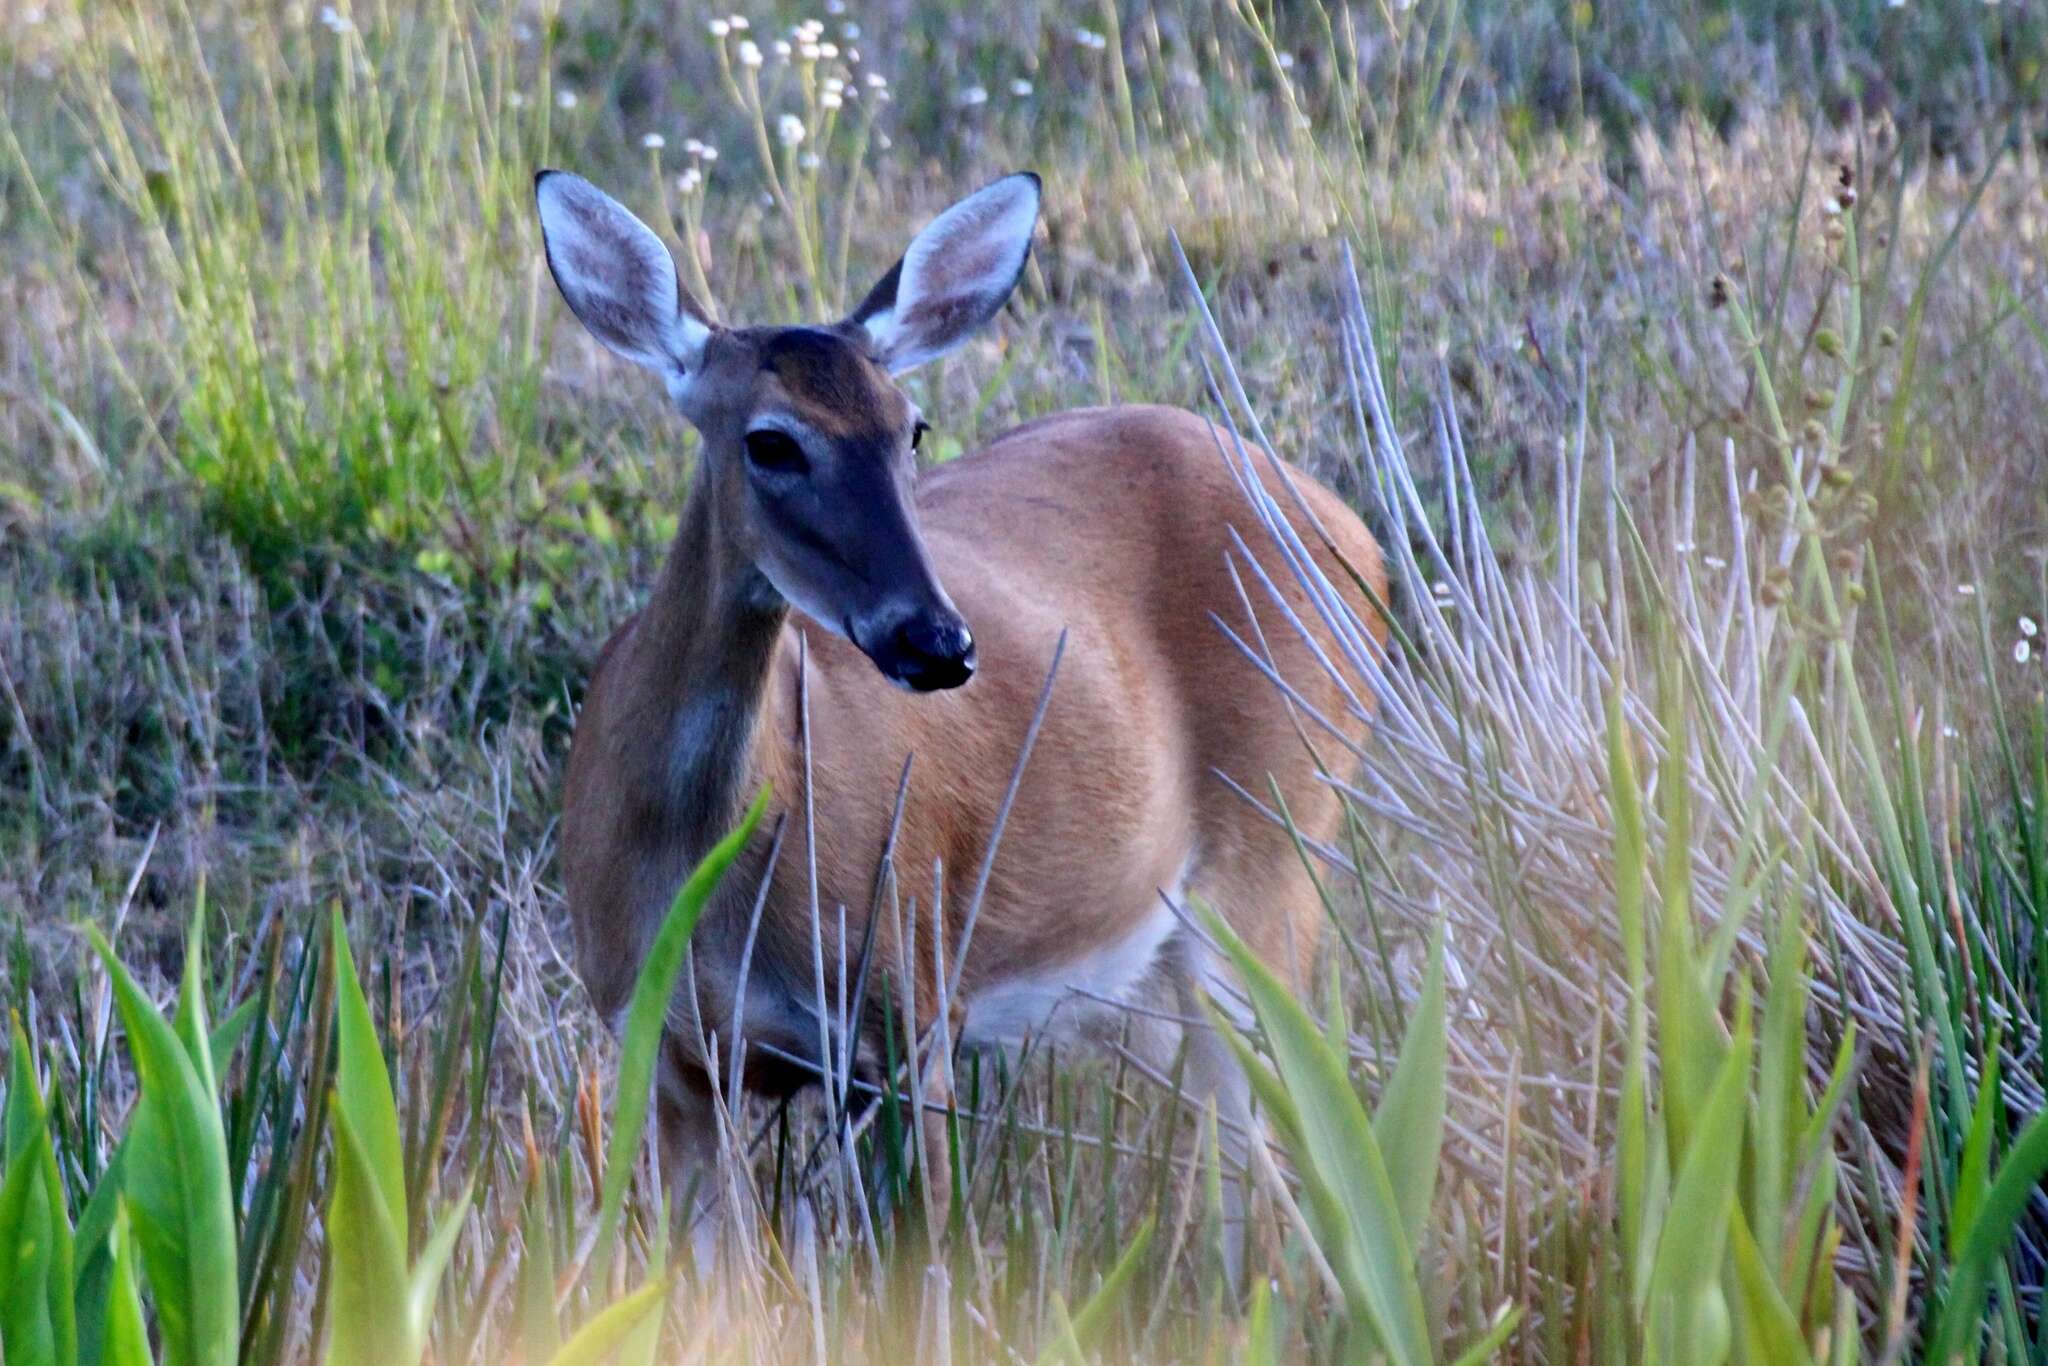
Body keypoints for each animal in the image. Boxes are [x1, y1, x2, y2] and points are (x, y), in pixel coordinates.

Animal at [528, 167, 1392, 1269]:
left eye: (913, 427)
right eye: (770, 440)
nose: (936, 639)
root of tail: (1356, 535)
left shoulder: (909, 1001)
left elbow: (921, 1260)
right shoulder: (669, 1045)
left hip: (1277, 851)